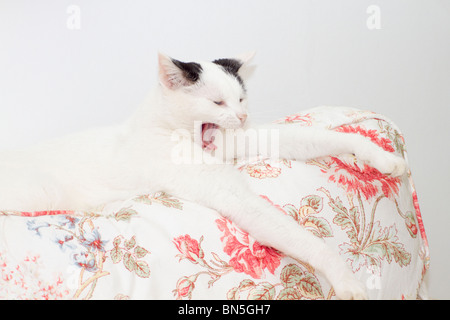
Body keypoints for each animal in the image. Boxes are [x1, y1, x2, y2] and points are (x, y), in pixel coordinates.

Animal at [0, 52, 406, 300]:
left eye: (241, 98)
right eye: (217, 102)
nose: (242, 116)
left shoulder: (243, 139)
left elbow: (321, 136)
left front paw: (382, 157)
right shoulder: (233, 195)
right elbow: (306, 241)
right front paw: (347, 281)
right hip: (41, 188)